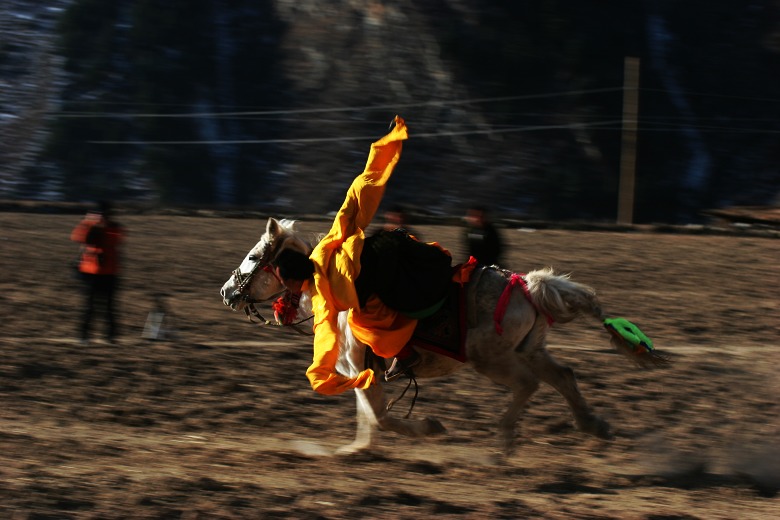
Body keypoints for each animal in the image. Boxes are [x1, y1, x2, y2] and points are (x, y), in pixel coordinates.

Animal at [218, 217, 664, 452]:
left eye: (254, 256)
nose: (226, 291)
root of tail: (528, 285)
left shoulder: (359, 368)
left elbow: (380, 417)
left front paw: (430, 428)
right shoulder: (358, 374)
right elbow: (369, 418)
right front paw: (354, 451)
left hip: (492, 359)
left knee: (528, 384)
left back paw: (503, 443)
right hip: (530, 350)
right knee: (563, 377)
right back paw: (593, 425)